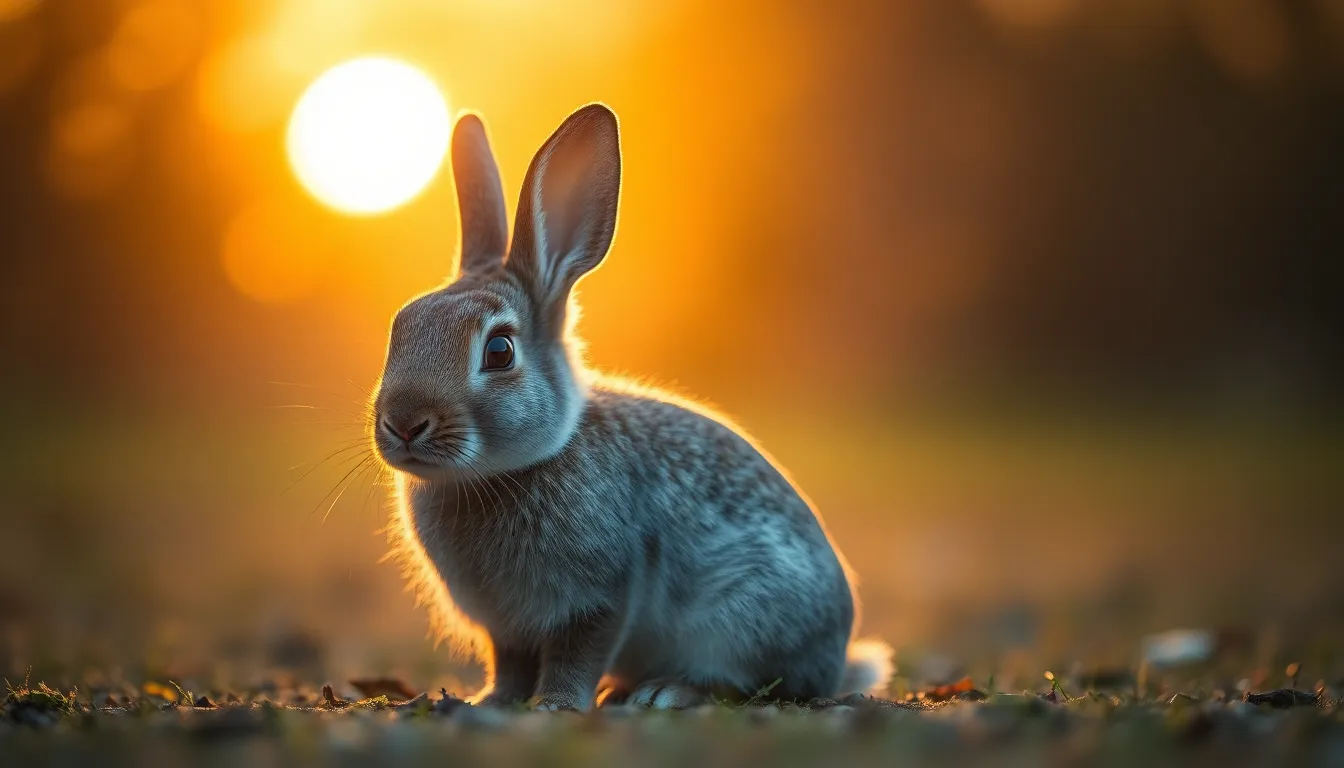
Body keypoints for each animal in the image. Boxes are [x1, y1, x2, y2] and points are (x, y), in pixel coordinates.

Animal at [371, 103, 892, 711]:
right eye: (401, 327)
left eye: (498, 351)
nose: (403, 423)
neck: (498, 475)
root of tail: (836, 660)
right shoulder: (507, 629)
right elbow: (511, 666)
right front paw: (491, 702)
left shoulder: (599, 595)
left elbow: (578, 653)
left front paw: (555, 706)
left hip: (745, 617)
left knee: (745, 682)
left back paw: (661, 693)